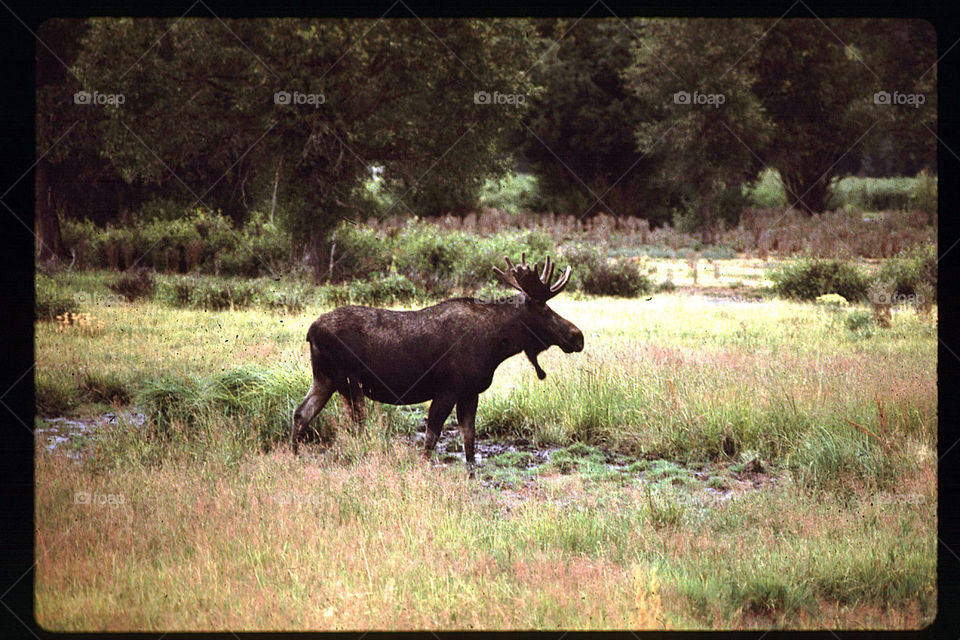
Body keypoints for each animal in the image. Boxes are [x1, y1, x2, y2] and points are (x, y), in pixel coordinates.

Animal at [291, 253, 584, 466]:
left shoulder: (470, 392)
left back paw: (294, 457)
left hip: (325, 379)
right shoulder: (447, 389)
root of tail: (311, 332)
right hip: (350, 383)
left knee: (301, 413)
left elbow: (469, 446)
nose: (577, 336)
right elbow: (430, 442)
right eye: (544, 308)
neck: (495, 346)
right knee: (355, 427)